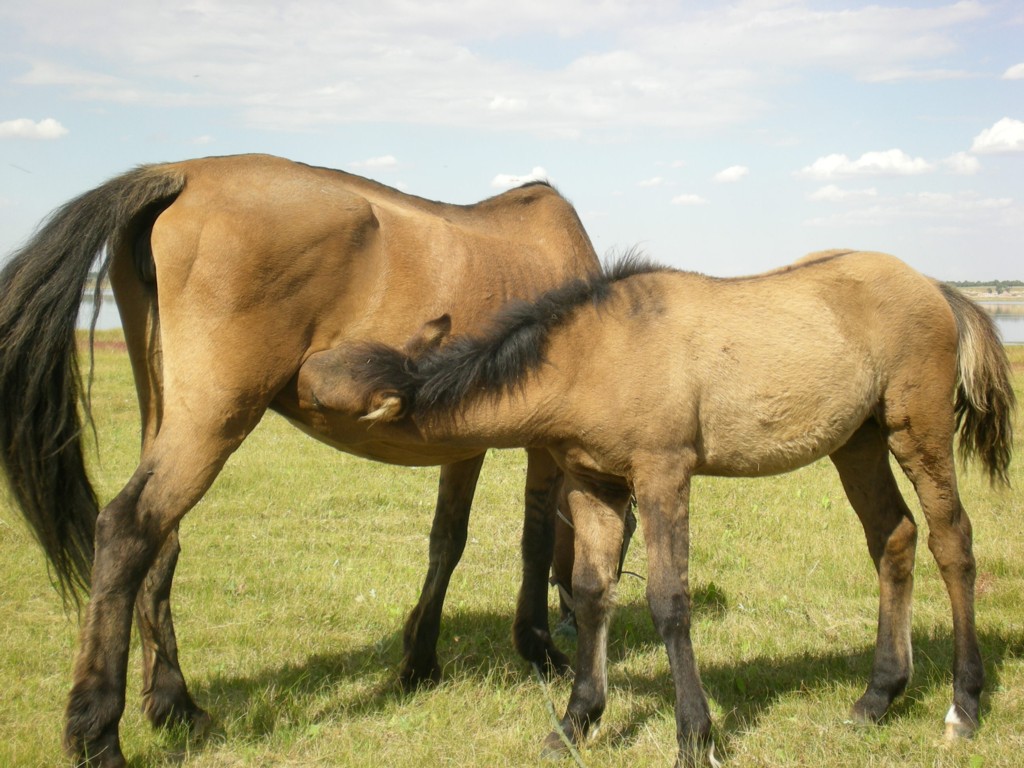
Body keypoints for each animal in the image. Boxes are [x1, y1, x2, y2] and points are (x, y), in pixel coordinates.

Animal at [0, 153, 598, 765]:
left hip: (165, 409)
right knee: (127, 528)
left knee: (159, 542)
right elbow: (536, 541)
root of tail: (182, 173)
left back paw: (175, 704)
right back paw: (96, 733)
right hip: (214, 420)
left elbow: (446, 542)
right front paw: (539, 649)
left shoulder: (462, 445)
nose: (574, 625)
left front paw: (419, 660)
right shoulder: (544, 444)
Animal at [352, 249, 1015, 765]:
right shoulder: (595, 484)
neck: (599, 351)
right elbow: (591, 593)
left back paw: (963, 705)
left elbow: (669, 600)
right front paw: (576, 722)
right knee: (893, 537)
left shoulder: (663, 474)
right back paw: (877, 697)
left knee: (952, 541)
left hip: (917, 428)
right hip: (858, 442)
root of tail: (935, 286)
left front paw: (695, 736)